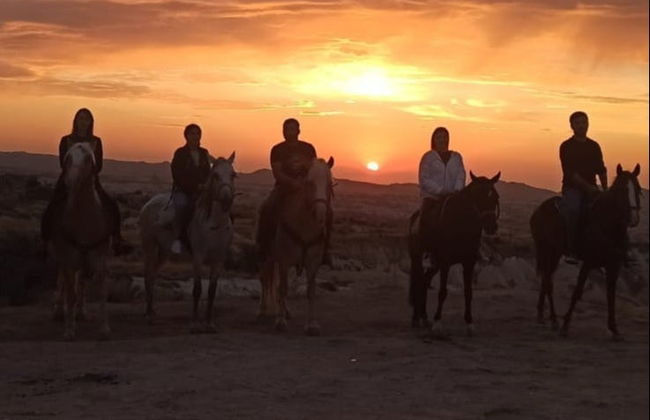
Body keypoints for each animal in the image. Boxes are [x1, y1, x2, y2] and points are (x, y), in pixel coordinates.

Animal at [49, 142, 113, 340]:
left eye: (88, 159)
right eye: (67, 158)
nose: (71, 181)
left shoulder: (99, 255)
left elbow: (101, 290)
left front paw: (104, 328)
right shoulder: (68, 257)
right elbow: (70, 292)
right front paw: (69, 330)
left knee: (82, 282)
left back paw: (81, 312)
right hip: (62, 255)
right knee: (63, 280)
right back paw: (59, 312)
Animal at [138, 153, 236, 332]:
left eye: (233, 175)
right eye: (215, 175)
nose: (226, 200)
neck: (215, 224)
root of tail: (148, 204)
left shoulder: (218, 259)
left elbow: (212, 290)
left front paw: (209, 323)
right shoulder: (198, 257)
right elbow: (197, 289)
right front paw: (194, 323)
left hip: (164, 251)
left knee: (153, 274)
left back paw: (152, 310)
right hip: (149, 247)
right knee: (148, 275)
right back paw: (148, 314)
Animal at [256, 157, 334, 336]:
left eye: (329, 184)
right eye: (309, 183)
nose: (321, 213)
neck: (304, 226)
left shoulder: (312, 262)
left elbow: (311, 291)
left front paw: (312, 325)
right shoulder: (284, 260)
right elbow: (283, 288)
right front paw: (280, 322)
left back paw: (286, 311)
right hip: (267, 256)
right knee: (265, 279)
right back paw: (263, 311)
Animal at [408, 172, 501, 337]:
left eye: (495, 197)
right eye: (479, 195)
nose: (491, 226)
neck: (461, 225)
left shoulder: (468, 263)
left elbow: (468, 292)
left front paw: (469, 324)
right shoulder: (445, 263)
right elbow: (443, 292)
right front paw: (438, 323)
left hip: (435, 264)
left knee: (425, 281)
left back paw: (424, 318)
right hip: (418, 259)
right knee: (418, 282)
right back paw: (416, 319)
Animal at [530, 164, 642, 339]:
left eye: (637, 188)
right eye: (622, 190)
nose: (634, 218)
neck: (607, 225)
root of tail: (539, 210)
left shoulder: (614, 265)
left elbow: (611, 295)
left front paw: (614, 329)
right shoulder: (588, 262)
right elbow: (577, 291)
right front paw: (565, 325)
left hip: (553, 253)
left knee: (546, 279)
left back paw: (542, 315)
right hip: (547, 250)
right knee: (548, 282)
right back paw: (554, 320)